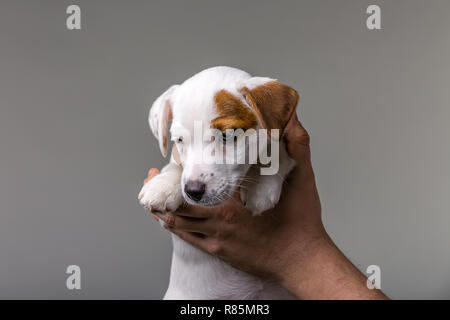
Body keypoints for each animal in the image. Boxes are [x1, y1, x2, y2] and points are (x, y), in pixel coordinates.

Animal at [137, 66, 298, 298]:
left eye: (227, 136)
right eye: (179, 140)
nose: (193, 191)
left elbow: (274, 149)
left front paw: (260, 186)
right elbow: (177, 167)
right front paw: (163, 185)